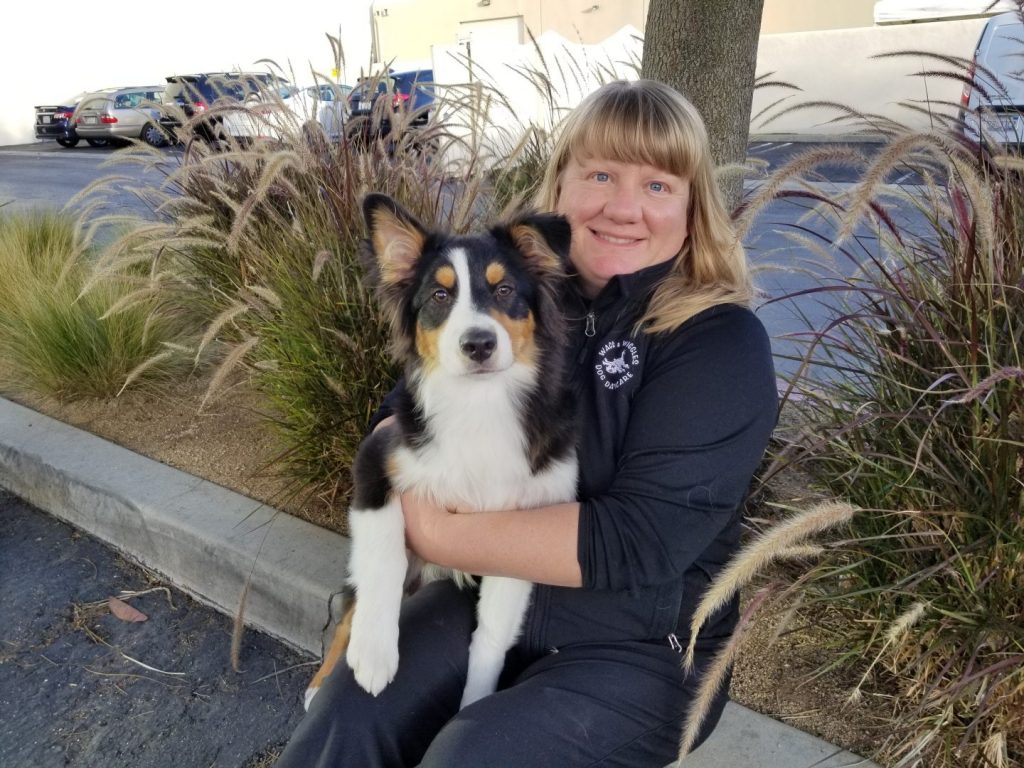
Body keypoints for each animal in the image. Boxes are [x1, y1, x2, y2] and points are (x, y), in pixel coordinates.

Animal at [301, 195, 577, 712]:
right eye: (439, 296)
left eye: (505, 289)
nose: (479, 344)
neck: (479, 404)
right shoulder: (374, 459)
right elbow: (383, 559)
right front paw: (374, 655)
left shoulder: (528, 522)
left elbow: (492, 633)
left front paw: (473, 701)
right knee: (350, 608)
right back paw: (319, 684)